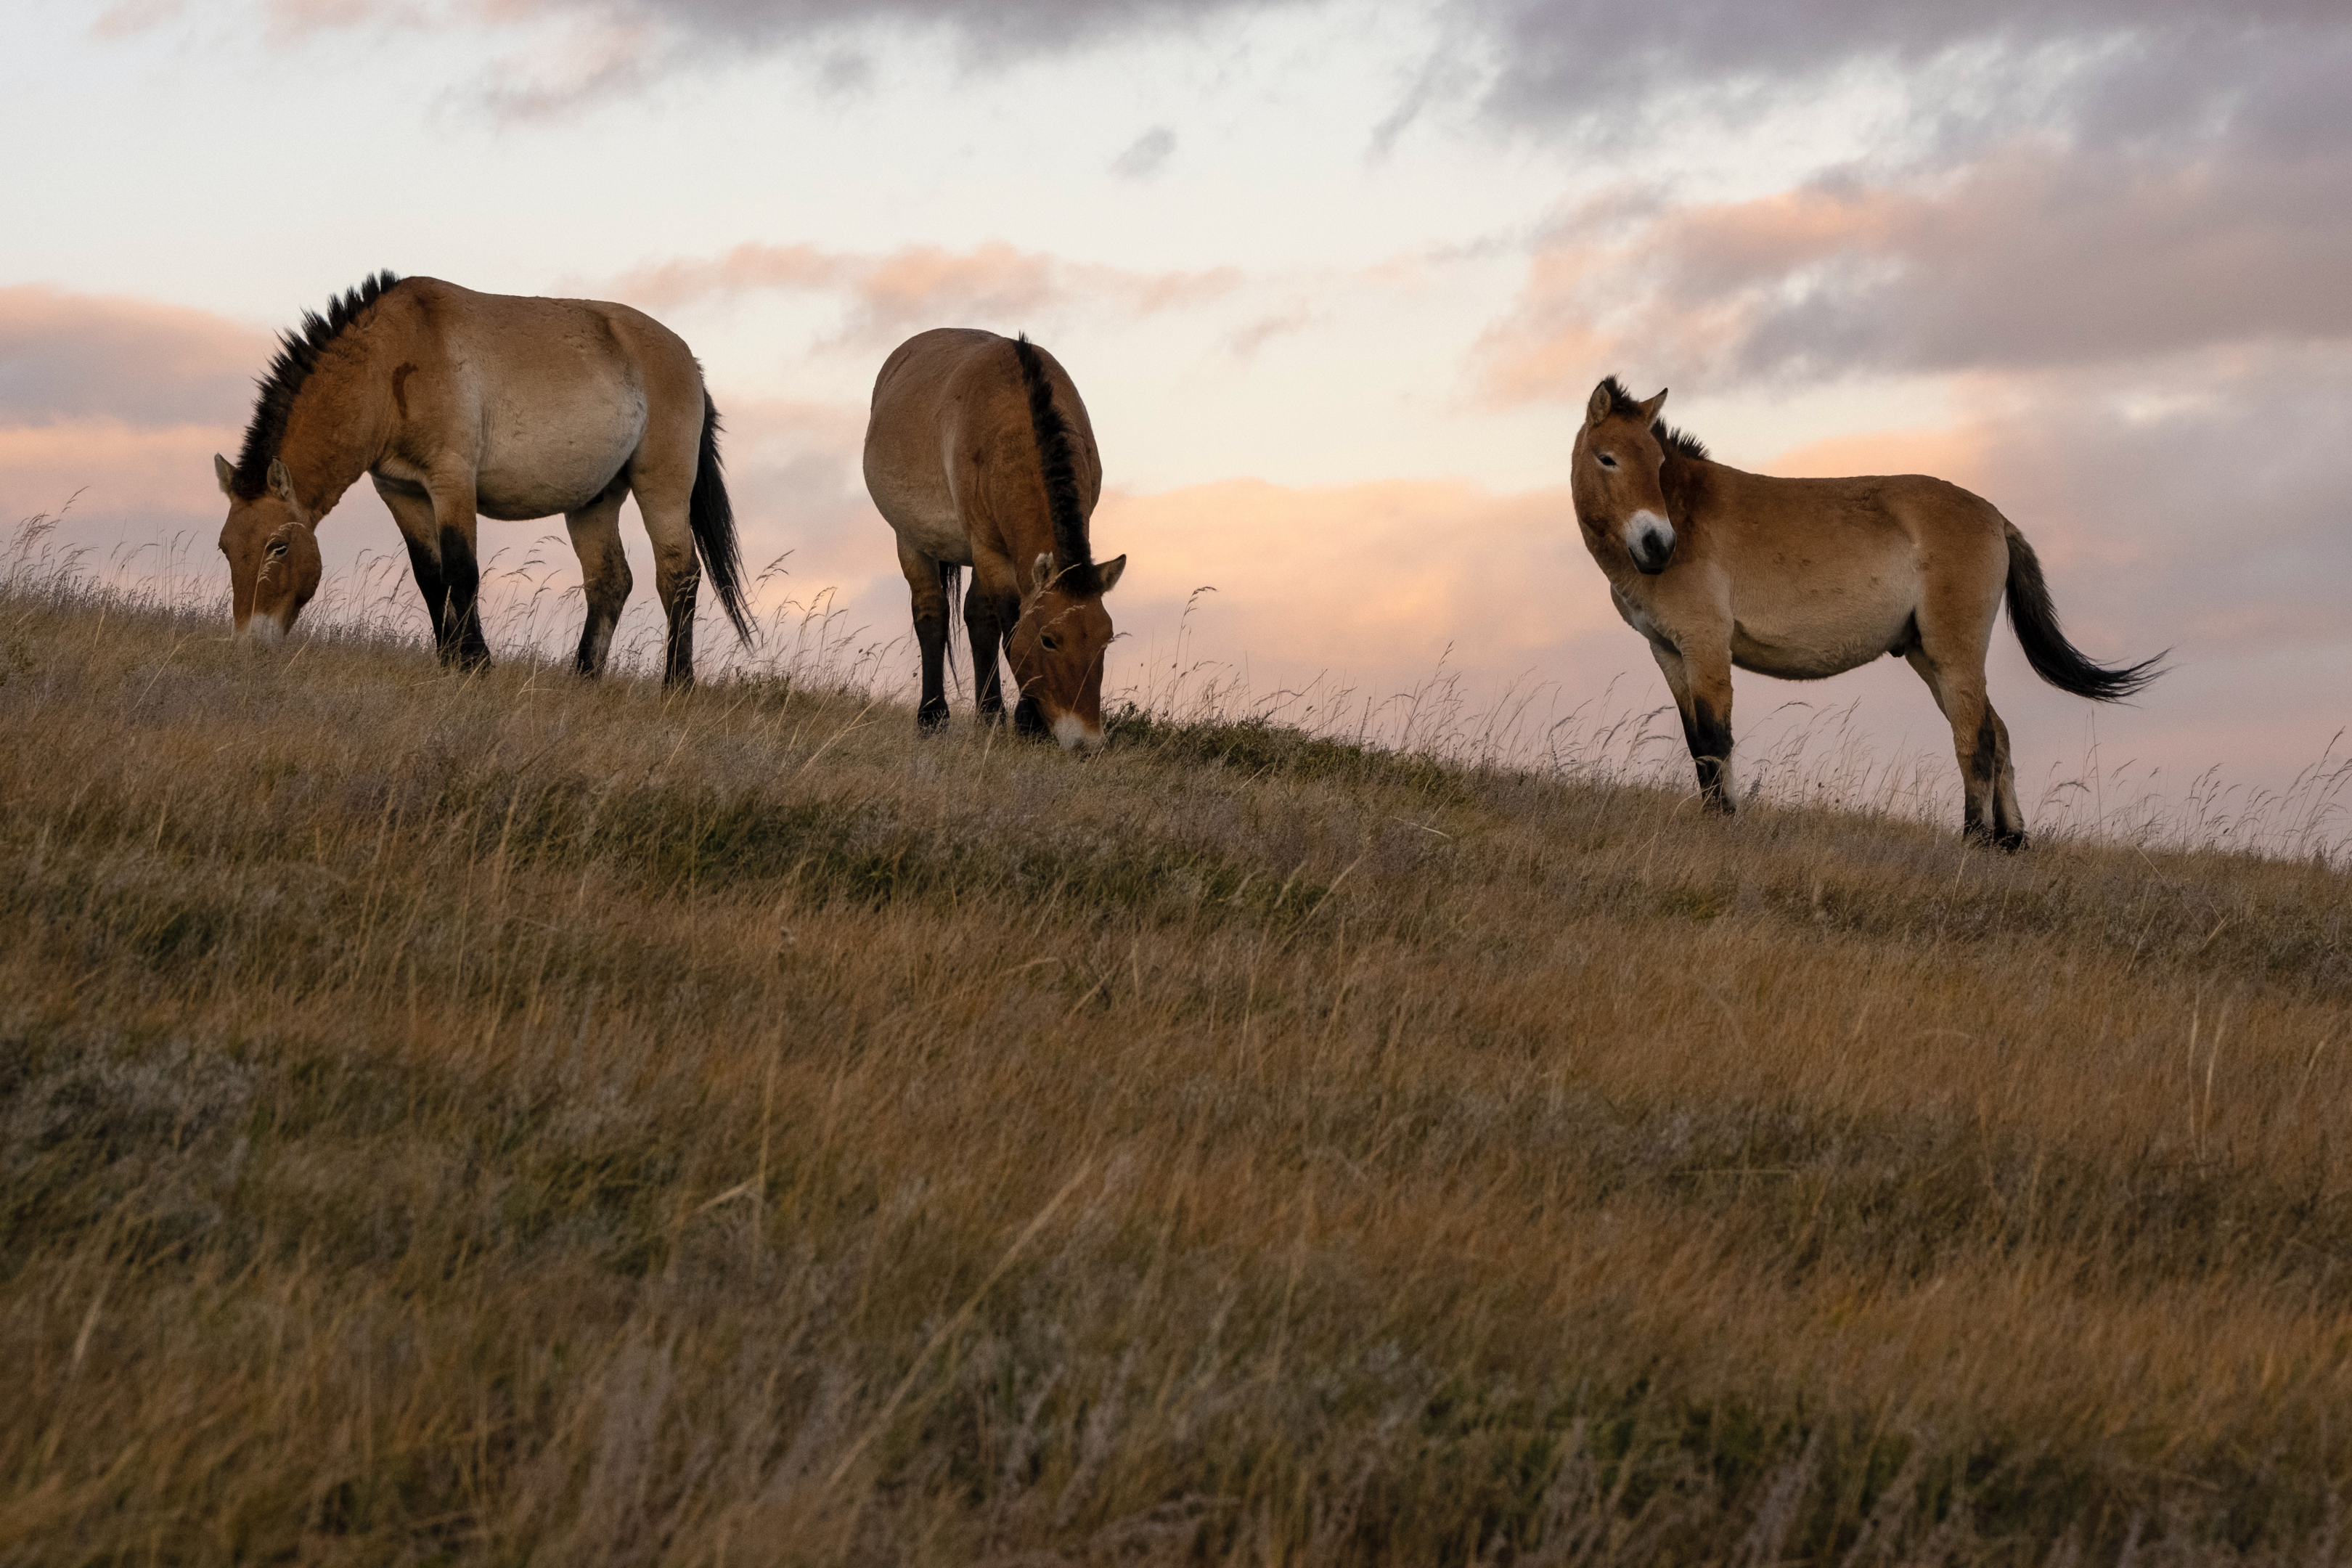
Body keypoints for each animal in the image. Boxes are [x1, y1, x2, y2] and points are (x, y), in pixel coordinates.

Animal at [211, 271, 748, 686]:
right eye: (226, 548)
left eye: (278, 547)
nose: (249, 646)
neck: (390, 364)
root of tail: (688, 359)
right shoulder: (401, 492)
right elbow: (431, 578)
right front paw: (449, 661)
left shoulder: (452, 482)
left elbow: (461, 571)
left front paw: (475, 665)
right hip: (593, 501)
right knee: (610, 581)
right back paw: (583, 678)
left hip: (663, 487)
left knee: (679, 575)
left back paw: (677, 684)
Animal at [865, 329, 1129, 752]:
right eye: (1048, 640)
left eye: (1105, 640)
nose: (1086, 743)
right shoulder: (988, 549)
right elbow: (1011, 626)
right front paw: (1028, 722)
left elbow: (990, 623)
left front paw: (1010, 719)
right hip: (912, 541)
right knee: (932, 614)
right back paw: (933, 717)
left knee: (977, 617)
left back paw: (988, 716)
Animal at [1571, 376, 2154, 846]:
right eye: (1608, 458)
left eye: (1657, 464)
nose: (1657, 545)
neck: (1688, 515)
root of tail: (1996, 517)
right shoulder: (1670, 652)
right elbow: (1698, 744)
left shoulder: (1707, 646)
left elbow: (1717, 739)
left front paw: (1727, 823)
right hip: (1926, 656)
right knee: (2000, 733)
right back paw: (2011, 842)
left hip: (1954, 654)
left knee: (1977, 739)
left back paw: (1974, 840)